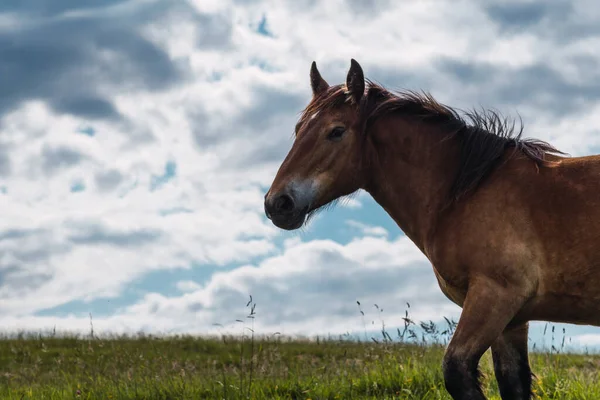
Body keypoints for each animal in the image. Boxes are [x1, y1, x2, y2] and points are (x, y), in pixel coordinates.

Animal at [264, 59, 600, 400]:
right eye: (298, 130)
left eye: (336, 131)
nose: (277, 203)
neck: (464, 194)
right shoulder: (512, 319)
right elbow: (511, 381)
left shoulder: (496, 295)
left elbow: (456, 370)